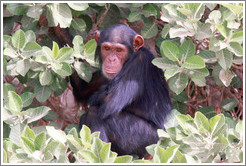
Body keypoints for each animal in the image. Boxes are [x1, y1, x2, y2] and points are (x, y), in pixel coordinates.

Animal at [72, 24, 172, 158]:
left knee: (94, 113)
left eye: (119, 50)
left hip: (143, 138)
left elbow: (110, 102)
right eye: (107, 48)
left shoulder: (139, 62)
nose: (111, 59)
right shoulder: (102, 75)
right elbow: (81, 91)